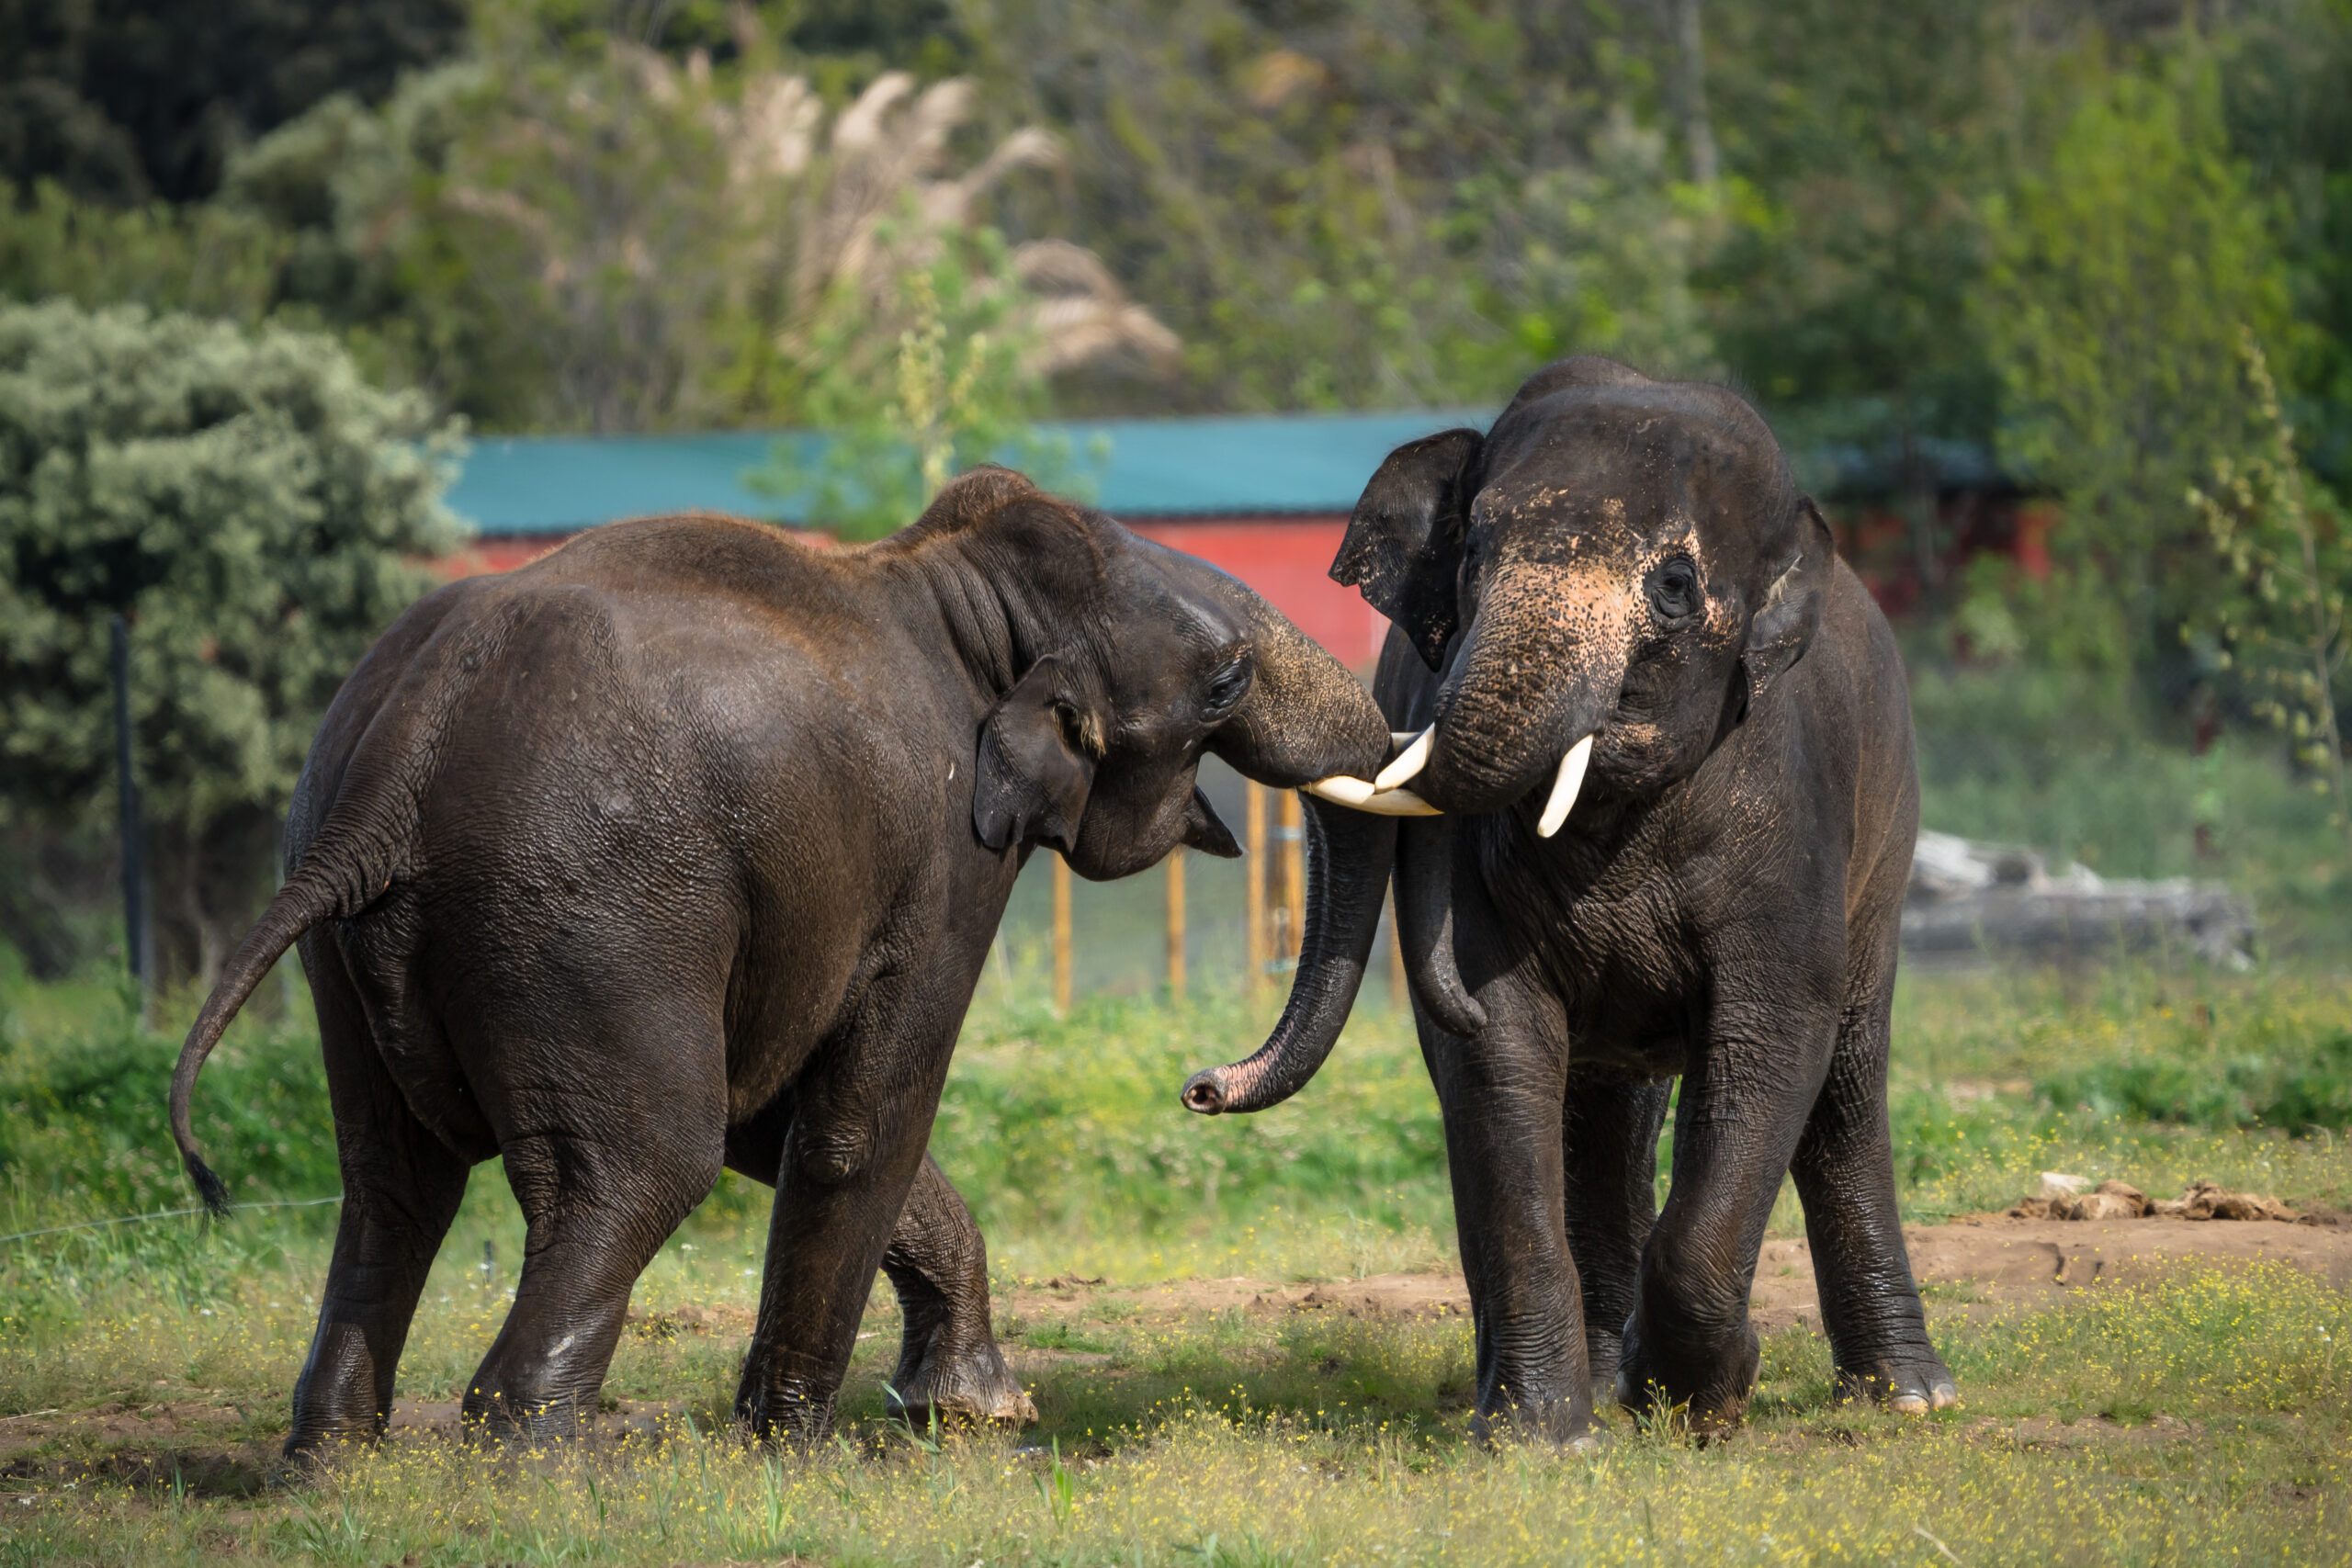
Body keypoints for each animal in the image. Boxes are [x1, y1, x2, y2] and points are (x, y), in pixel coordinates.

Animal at [168, 466, 1392, 1458]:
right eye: (1226, 681)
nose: (1199, 1087)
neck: (965, 591)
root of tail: (400, 760)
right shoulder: (947, 852)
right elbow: (861, 1115)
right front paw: (795, 1453)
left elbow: (767, 1111)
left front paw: (970, 1412)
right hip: (584, 912)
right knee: (640, 1167)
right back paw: (537, 1474)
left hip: (361, 943)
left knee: (395, 1182)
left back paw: (335, 1466)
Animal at [1182, 358, 1956, 1443]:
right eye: (1472, 552)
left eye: (1672, 587)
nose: (1198, 1087)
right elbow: (1500, 1047)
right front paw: (1540, 1437)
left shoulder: (1792, 805)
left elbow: (1766, 1036)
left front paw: (1709, 1392)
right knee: (1597, 1106)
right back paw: (1594, 1380)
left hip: (1882, 853)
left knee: (1843, 1082)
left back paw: (1907, 1397)